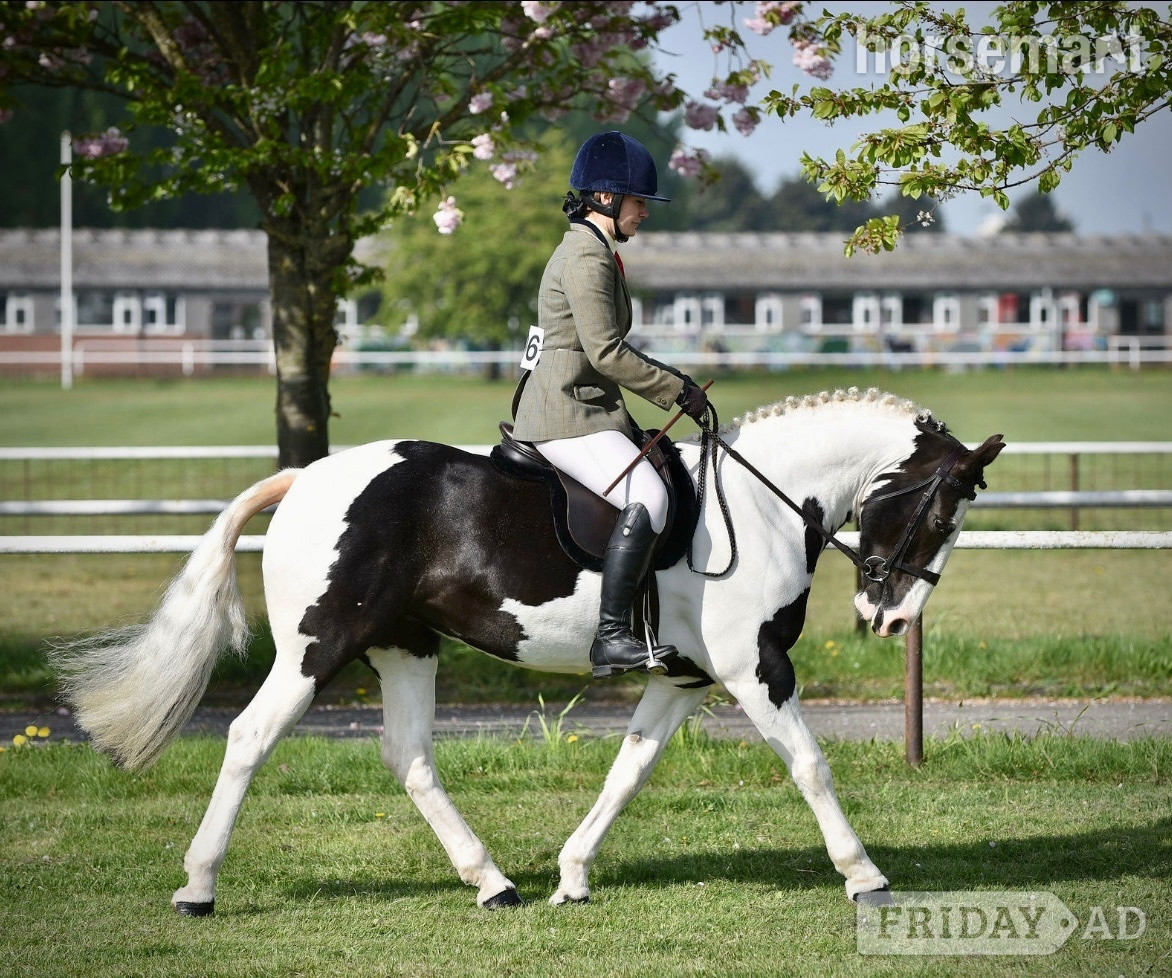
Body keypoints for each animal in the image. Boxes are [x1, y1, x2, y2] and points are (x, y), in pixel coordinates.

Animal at [52, 387, 1004, 915]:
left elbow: (629, 770)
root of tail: (310, 475)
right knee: (250, 739)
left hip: (405, 647)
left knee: (410, 757)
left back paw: (493, 883)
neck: (760, 504)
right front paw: (865, 876)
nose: (889, 616)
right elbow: (810, 765)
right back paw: (197, 887)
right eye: (943, 512)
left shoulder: (685, 680)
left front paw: (572, 875)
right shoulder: (755, 671)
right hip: (317, 648)